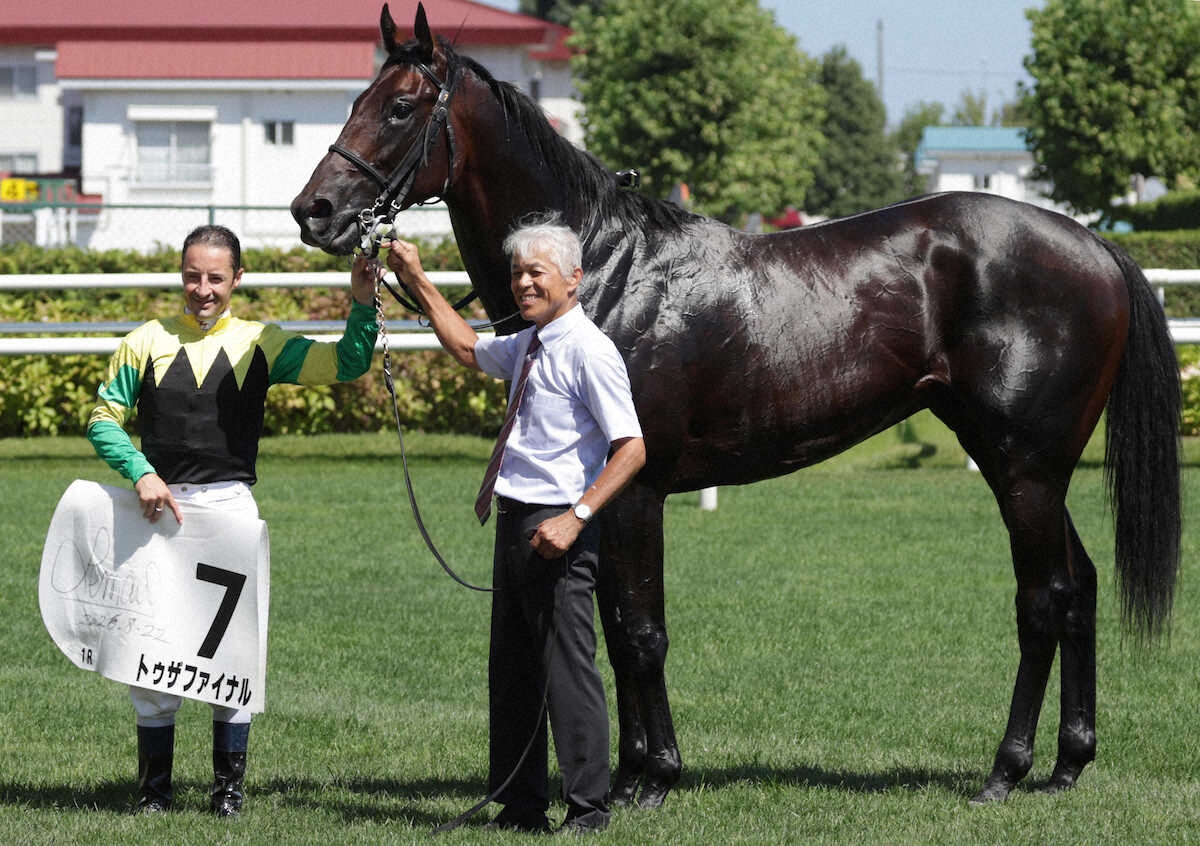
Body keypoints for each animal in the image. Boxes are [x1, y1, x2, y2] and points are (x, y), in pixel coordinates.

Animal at [291, 3, 1182, 808]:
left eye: (400, 106)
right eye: (355, 99)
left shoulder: (637, 491)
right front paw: (629, 776)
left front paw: (652, 781)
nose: (314, 212)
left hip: (1025, 470)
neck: (604, 270)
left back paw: (1006, 770)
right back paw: (1069, 763)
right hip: (1025, 466)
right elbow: (617, 627)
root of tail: (1095, 246)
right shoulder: (602, 501)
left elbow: (641, 632)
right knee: (1080, 586)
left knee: (1043, 601)